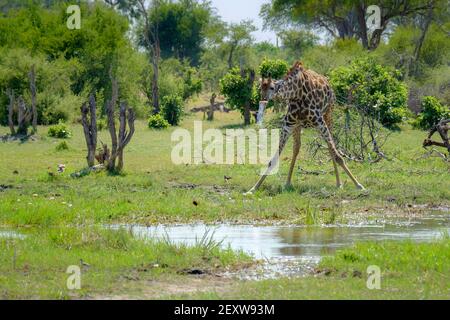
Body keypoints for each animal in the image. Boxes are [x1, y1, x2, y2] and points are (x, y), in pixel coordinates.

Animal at [246, 61, 366, 194]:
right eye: (260, 88)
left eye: (272, 87)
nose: (264, 99)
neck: (296, 94)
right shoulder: (288, 124)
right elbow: (273, 160)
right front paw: (253, 188)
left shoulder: (319, 121)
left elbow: (338, 156)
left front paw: (359, 185)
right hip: (298, 125)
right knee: (297, 147)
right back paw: (288, 183)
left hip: (328, 113)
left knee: (331, 146)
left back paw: (339, 183)